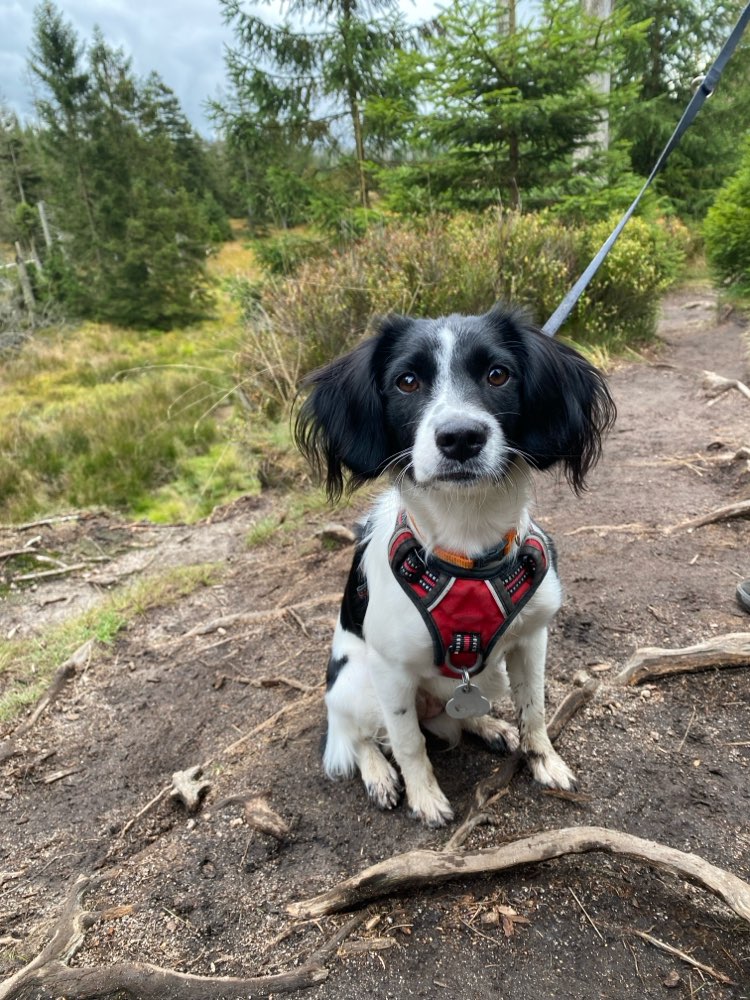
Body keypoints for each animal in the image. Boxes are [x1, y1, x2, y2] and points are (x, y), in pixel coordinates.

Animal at [294, 304, 616, 828]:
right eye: (406, 381)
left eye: (498, 374)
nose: (461, 437)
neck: (467, 546)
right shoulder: (390, 672)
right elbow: (408, 743)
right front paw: (424, 797)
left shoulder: (531, 639)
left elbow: (534, 710)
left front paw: (544, 762)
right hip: (356, 684)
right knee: (360, 737)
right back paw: (378, 774)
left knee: (457, 713)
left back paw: (489, 725)